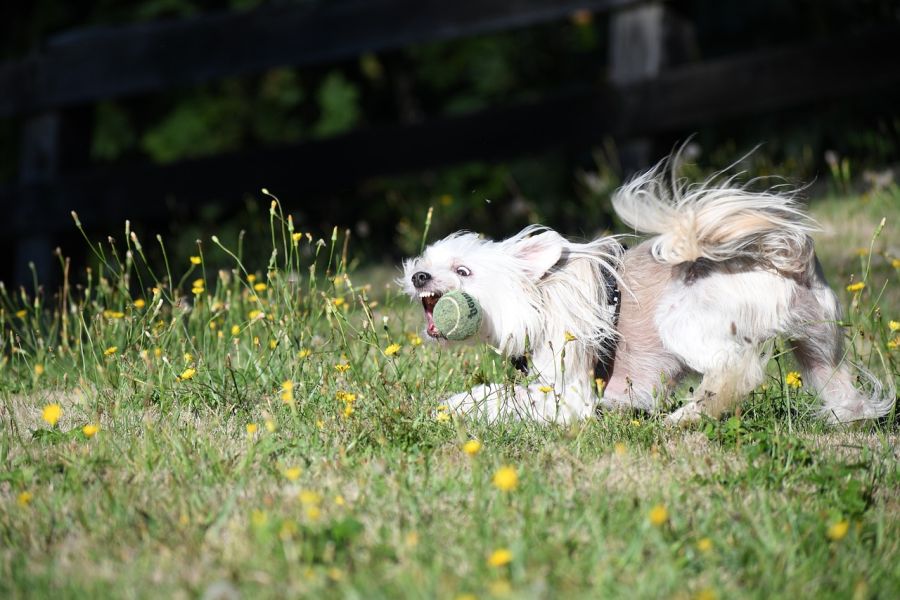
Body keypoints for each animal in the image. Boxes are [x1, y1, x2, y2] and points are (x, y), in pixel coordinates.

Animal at [400, 157, 892, 424]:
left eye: (463, 271)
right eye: (426, 262)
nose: (418, 276)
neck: (540, 295)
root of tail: (783, 253)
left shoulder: (569, 390)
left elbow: (508, 398)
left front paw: (462, 410)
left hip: (683, 318)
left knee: (737, 371)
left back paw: (687, 417)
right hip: (817, 342)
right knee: (839, 387)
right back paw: (846, 416)